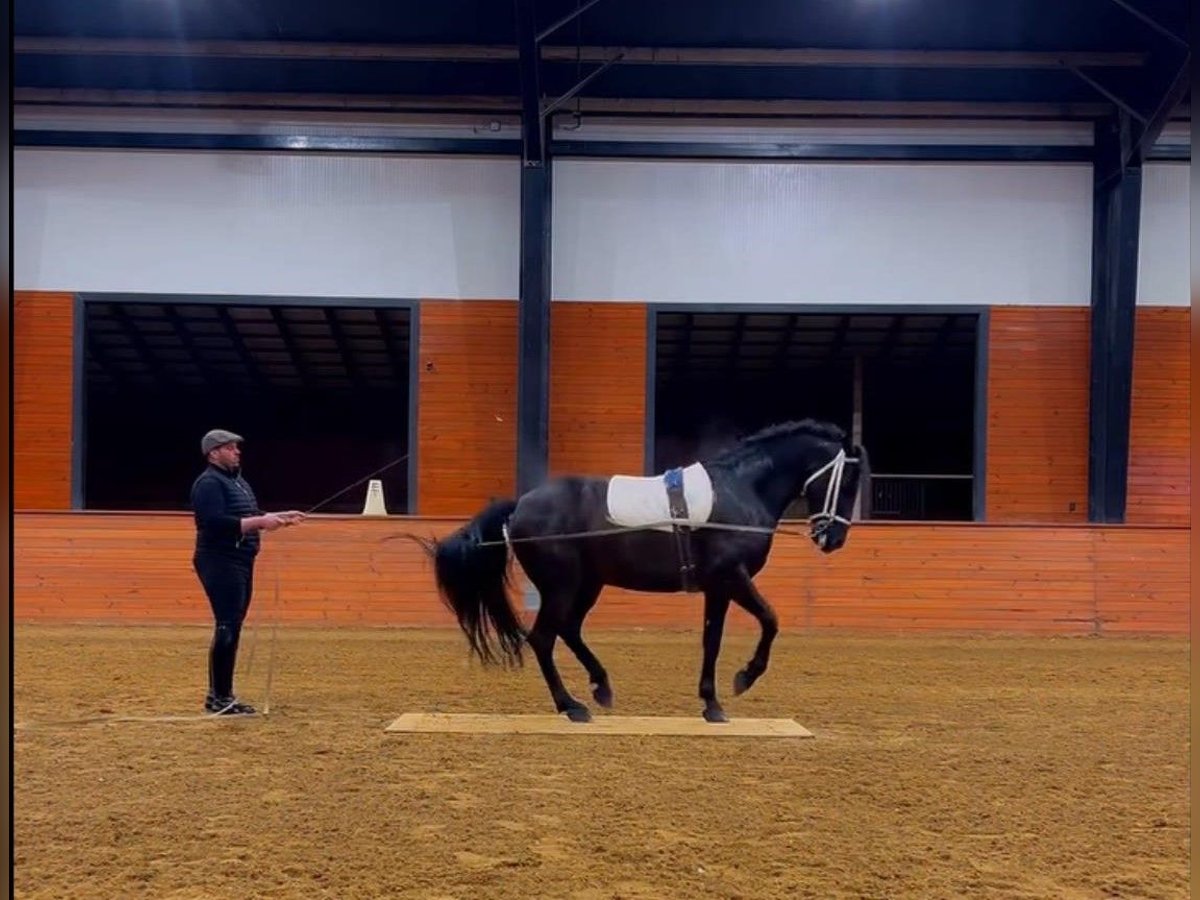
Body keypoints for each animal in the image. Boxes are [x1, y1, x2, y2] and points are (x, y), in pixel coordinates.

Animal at [420, 418, 868, 724]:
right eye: (848, 480)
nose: (834, 539)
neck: (740, 490)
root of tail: (520, 505)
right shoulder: (732, 577)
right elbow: (771, 620)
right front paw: (744, 678)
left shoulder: (717, 587)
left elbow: (712, 640)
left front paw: (711, 704)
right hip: (563, 584)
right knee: (544, 637)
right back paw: (572, 706)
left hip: (588, 584)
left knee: (568, 630)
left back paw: (601, 687)